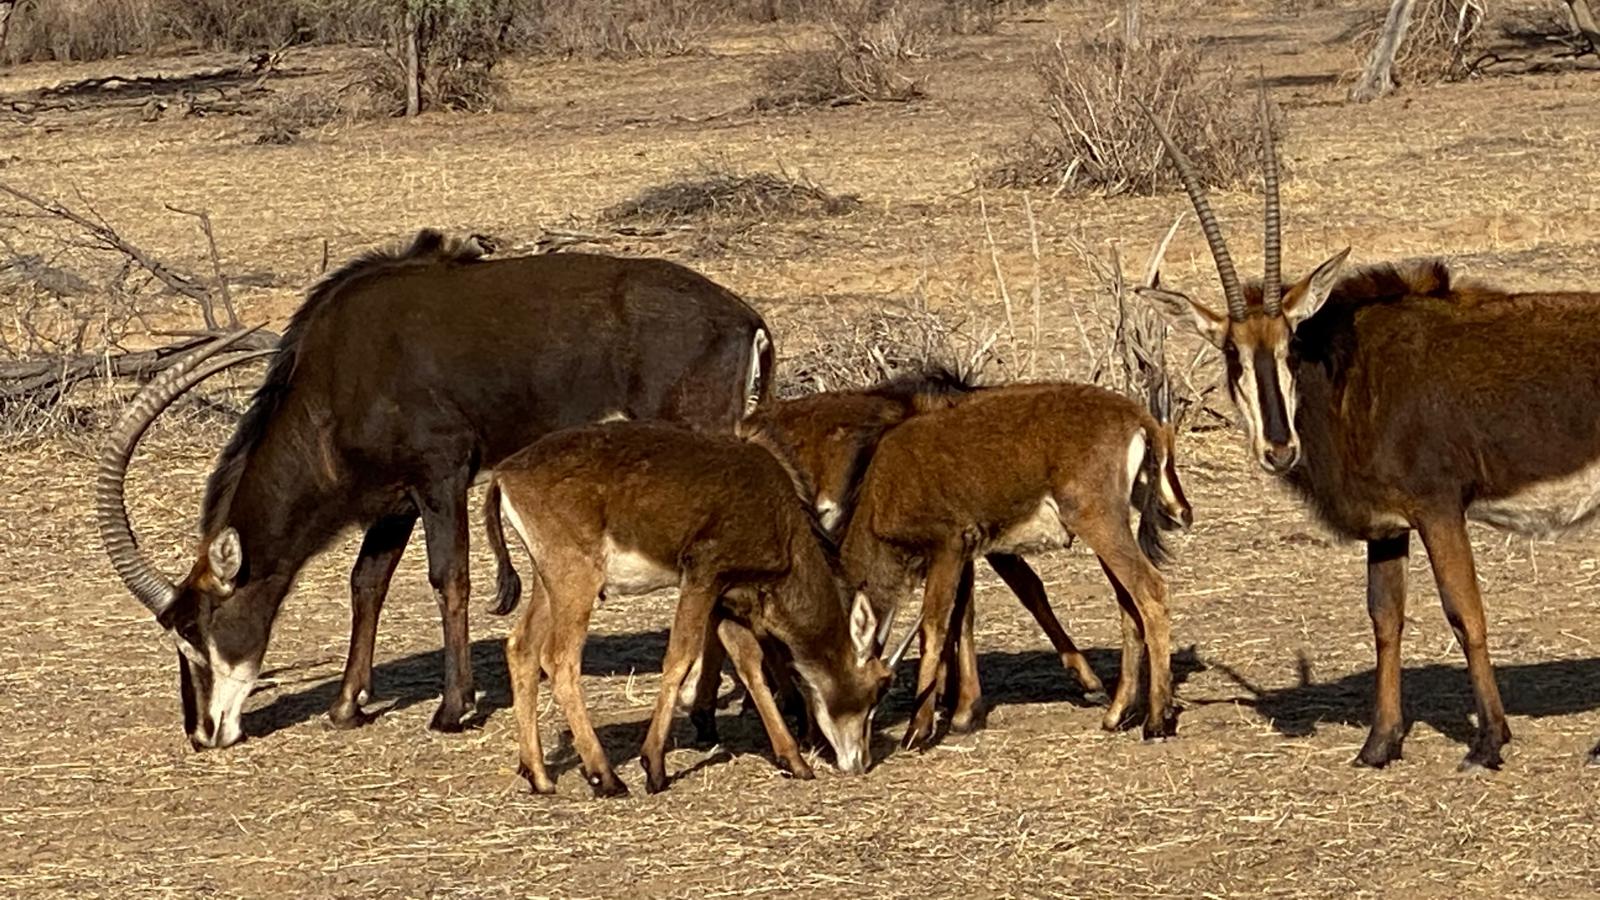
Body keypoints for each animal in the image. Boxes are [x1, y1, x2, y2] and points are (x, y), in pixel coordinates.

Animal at [98, 230, 773, 750]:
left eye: (194, 628)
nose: (201, 733)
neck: (338, 372)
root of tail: (745, 319)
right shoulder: (394, 499)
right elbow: (366, 583)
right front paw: (348, 705)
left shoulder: (441, 474)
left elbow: (449, 578)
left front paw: (453, 709)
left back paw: (707, 701)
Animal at [490, 422, 892, 797]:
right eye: (876, 687)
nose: (861, 762)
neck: (782, 520)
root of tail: (503, 475)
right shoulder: (702, 575)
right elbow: (679, 659)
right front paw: (654, 766)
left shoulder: (727, 596)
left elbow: (749, 667)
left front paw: (792, 760)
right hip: (577, 577)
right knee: (559, 659)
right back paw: (605, 777)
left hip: (548, 580)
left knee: (521, 647)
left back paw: (539, 775)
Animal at [837, 381, 1192, 749]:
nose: (853, 751)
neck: (884, 487)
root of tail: (1138, 417)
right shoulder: (967, 551)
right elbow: (962, 616)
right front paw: (961, 713)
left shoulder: (949, 545)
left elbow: (934, 627)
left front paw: (917, 729)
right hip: (1107, 525)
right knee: (1128, 605)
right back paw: (1117, 713)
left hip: (1098, 520)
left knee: (1150, 590)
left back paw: (1155, 721)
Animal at [1139, 88, 1600, 770]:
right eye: (1231, 353)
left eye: (1291, 344)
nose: (1280, 449)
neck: (1352, 375)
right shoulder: (1388, 526)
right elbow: (1385, 619)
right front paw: (1380, 743)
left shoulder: (1439, 508)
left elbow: (1465, 613)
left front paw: (1489, 740)